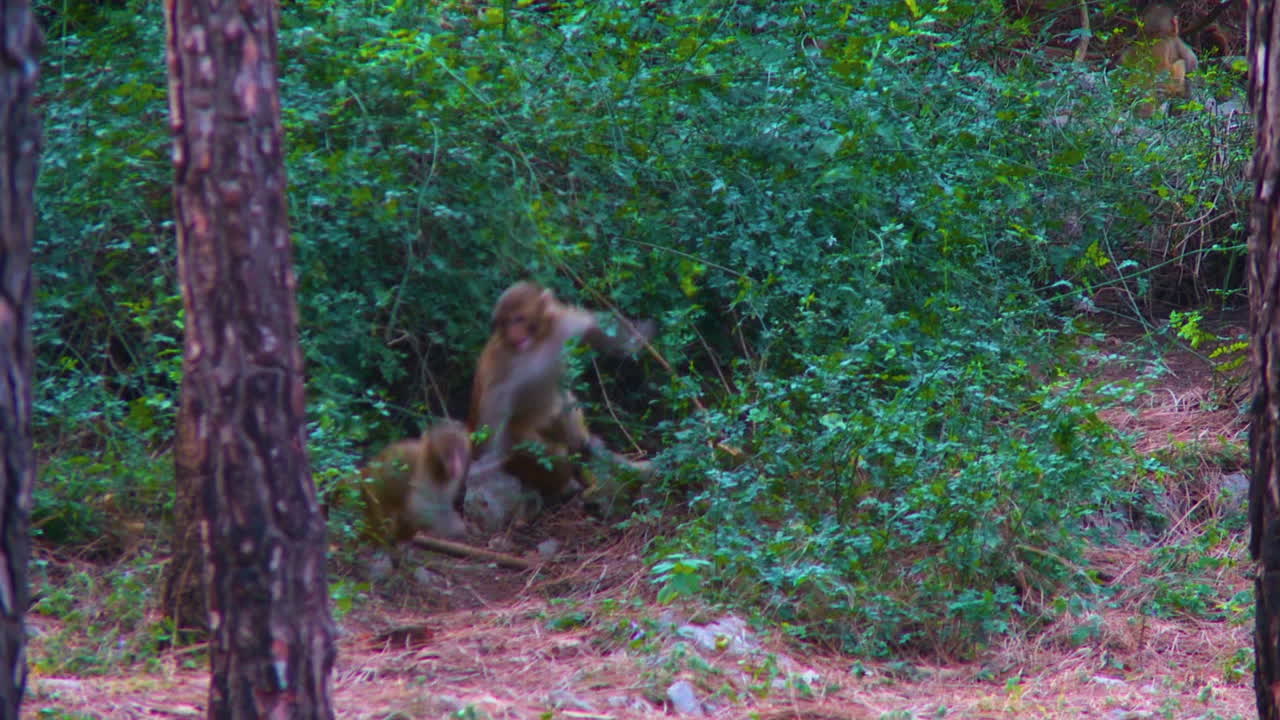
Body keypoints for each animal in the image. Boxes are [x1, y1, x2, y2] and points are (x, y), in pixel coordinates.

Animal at [467, 281, 654, 500]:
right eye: (505, 322)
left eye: (518, 319)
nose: (513, 334)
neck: (538, 342)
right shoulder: (502, 358)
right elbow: (496, 399)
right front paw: (487, 458)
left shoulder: (564, 324)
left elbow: (594, 327)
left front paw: (638, 335)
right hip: (519, 437)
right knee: (552, 452)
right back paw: (565, 486)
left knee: (566, 407)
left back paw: (586, 448)